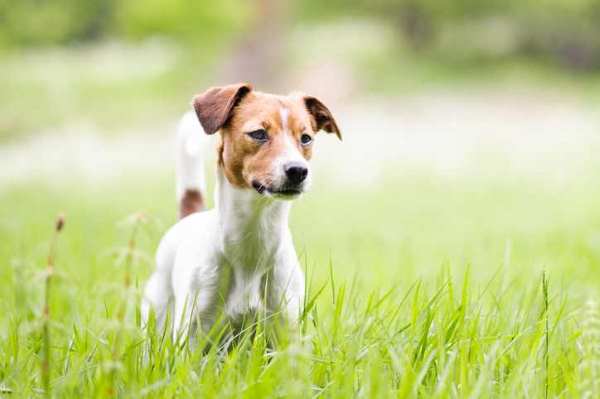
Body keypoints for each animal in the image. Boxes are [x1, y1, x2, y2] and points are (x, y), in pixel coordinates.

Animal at [138, 82, 340, 344]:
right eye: (259, 134)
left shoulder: (286, 329)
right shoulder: (193, 333)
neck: (252, 242)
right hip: (157, 310)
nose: (298, 170)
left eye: (306, 139)